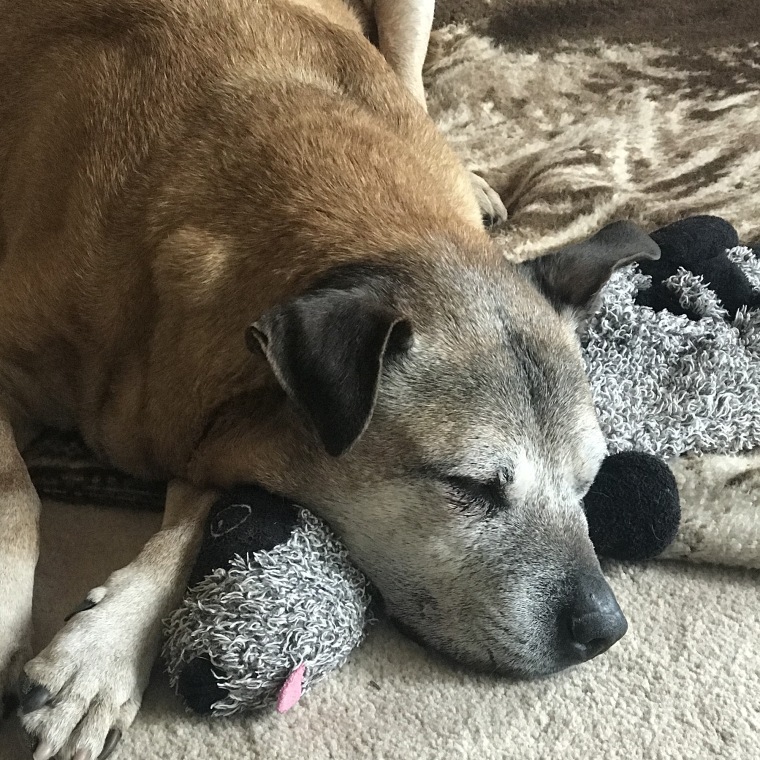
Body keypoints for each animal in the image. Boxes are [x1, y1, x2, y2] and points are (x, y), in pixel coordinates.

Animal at [0, 0, 660, 756]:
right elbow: (18, 495)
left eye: (589, 481)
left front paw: (103, 652)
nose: (606, 630)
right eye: (468, 487)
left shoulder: (224, 430)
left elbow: (194, 523)